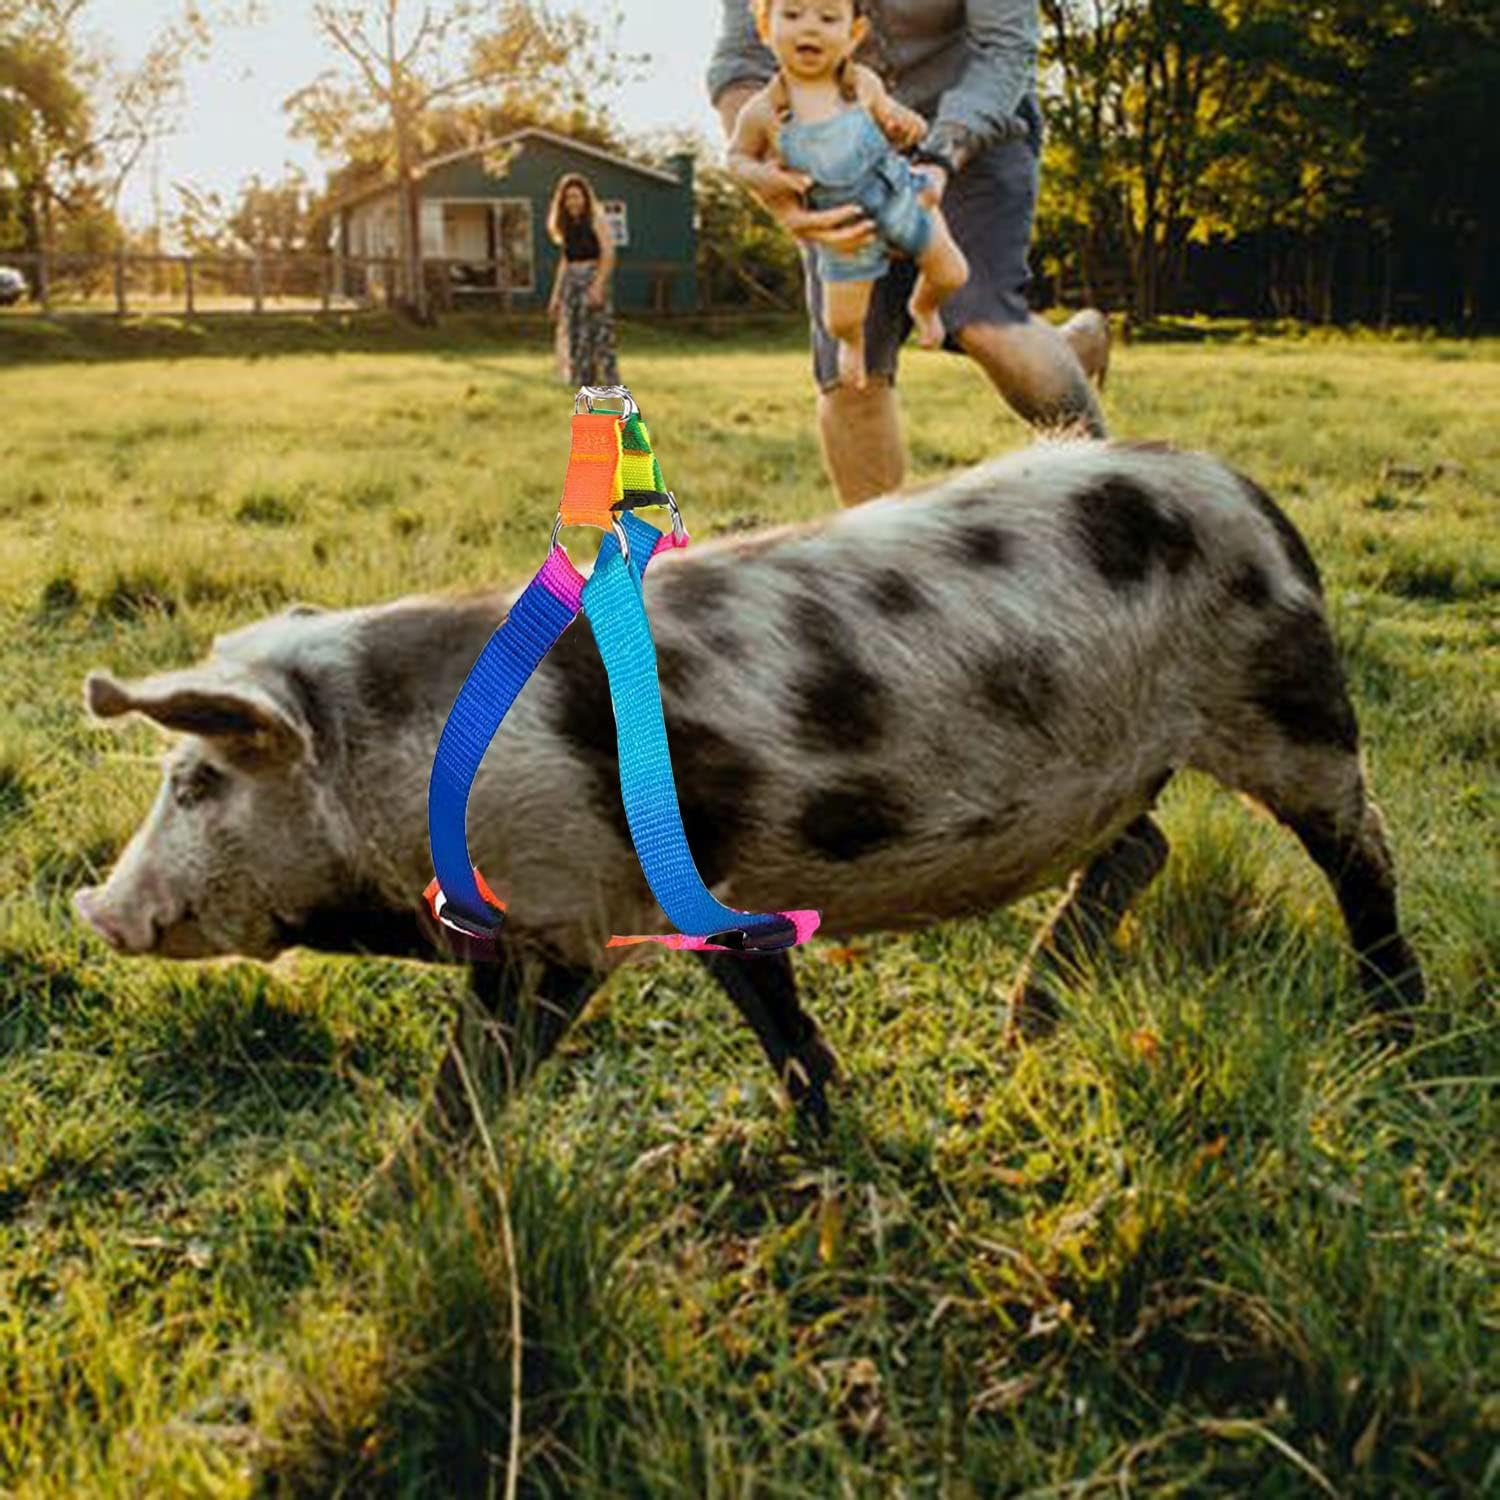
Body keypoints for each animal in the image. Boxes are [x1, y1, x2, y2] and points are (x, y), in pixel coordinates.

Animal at [73, 440, 1425, 1131]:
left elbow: (471, 1085)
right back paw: (1024, 1026)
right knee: (1145, 848)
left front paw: (413, 1201)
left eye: (196, 782)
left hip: (1289, 706)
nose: (94, 908)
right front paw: (828, 1132)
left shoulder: (559, 909)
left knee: (1363, 850)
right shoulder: (698, 890)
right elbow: (773, 1011)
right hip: (1137, 757)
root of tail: (1253, 495)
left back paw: (1394, 1031)